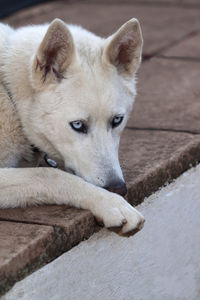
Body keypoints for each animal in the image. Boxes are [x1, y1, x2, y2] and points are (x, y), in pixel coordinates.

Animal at [0, 17, 144, 236]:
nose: (118, 188)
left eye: (117, 120)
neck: (10, 98)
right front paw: (111, 203)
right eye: (77, 125)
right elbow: (49, 175)